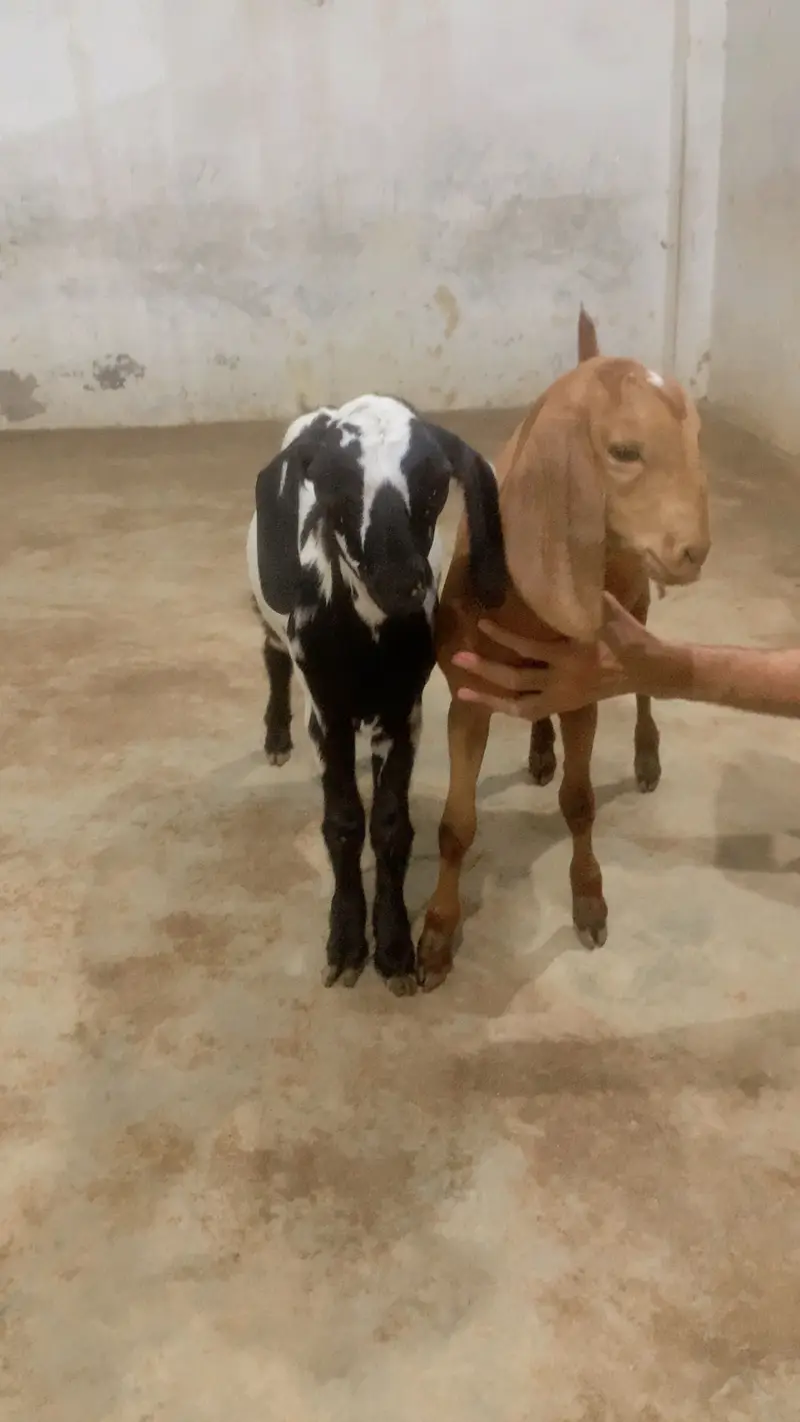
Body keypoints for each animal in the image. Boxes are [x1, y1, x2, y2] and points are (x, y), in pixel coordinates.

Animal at [247, 395, 506, 994]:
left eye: (435, 481)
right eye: (334, 482)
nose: (401, 580)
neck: (368, 640)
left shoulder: (402, 712)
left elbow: (390, 826)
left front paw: (393, 947)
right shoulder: (328, 715)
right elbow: (343, 823)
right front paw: (345, 943)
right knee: (272, 655)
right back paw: (276, 736)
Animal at [417, 311, 710, 990]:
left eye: (695, 443)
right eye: (624, 450)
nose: (694, 550)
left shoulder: (584, 686)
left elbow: (579, 803)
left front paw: (589, 902)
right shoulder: (468, 694)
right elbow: (454, 826)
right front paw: (437, 935)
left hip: (636, 609)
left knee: (645, 681)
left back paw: (645, 757)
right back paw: (539, 748)